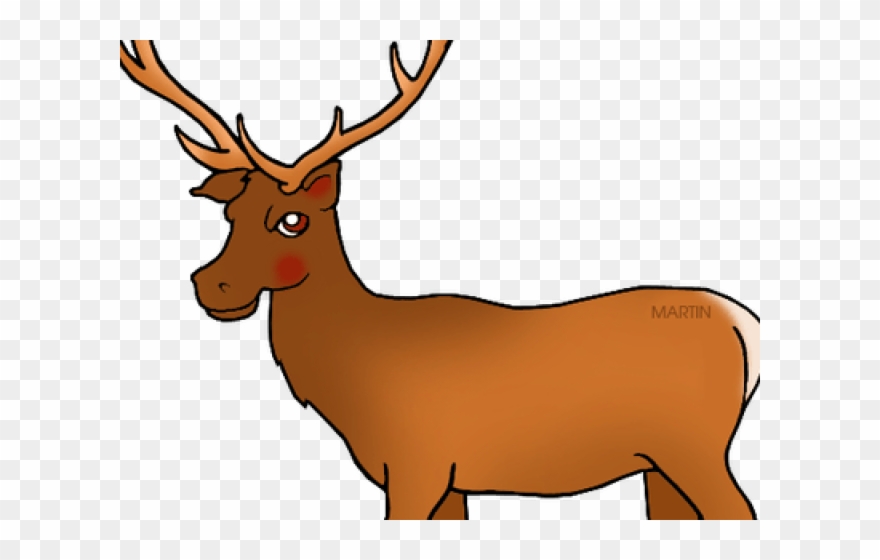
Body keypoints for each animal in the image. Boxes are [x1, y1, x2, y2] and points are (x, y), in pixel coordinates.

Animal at [120, 39, 761, 520]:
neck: (355, 379)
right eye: (231, 212)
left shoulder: (417, 465)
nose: (213, 285)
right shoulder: (447, 483)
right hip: (657, 468)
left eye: (292, 219)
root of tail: (746, 328)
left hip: (695, 447)